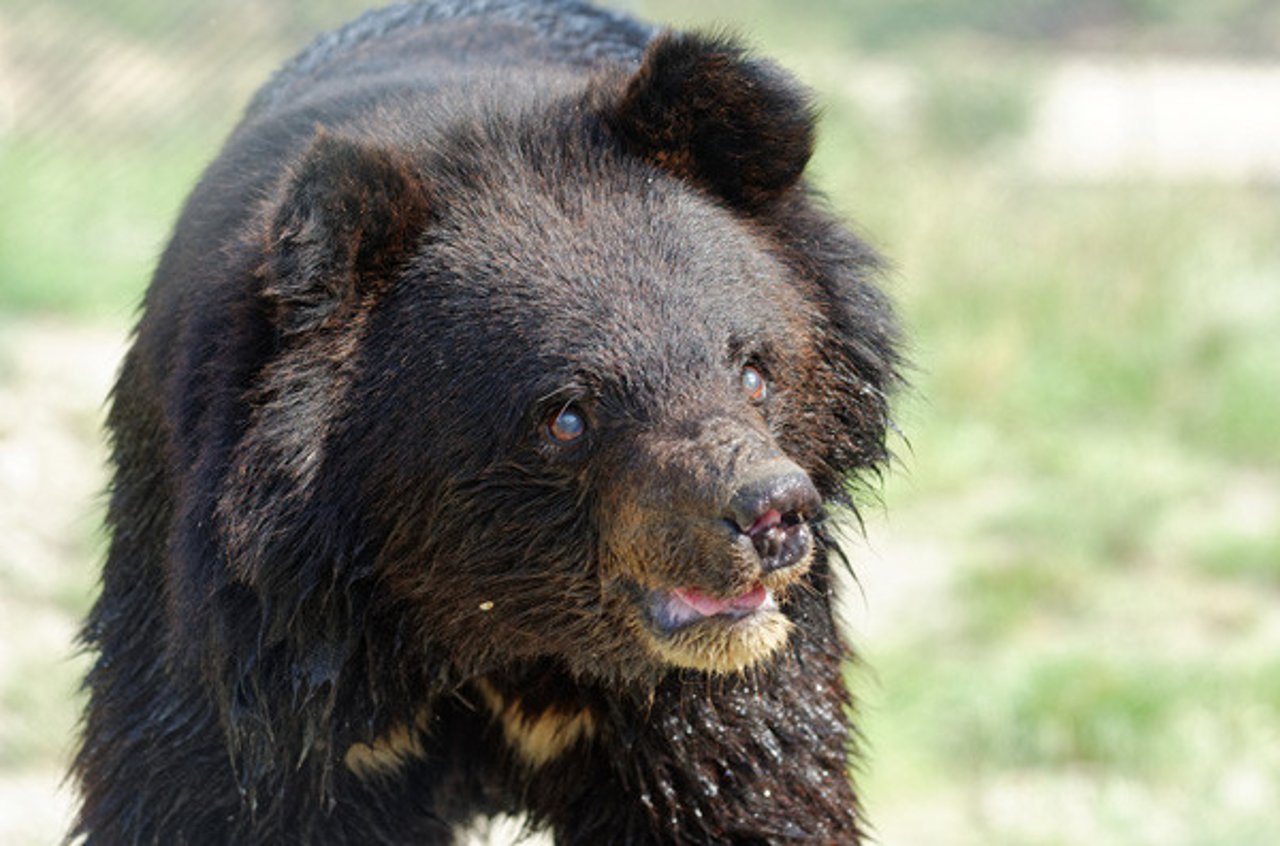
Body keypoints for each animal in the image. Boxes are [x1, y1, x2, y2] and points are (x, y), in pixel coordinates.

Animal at [72, 1, 901, 844]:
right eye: (567, 417)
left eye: (754, 372)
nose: (771, 512)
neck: (492, 622)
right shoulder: (259, 637)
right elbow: (203, 790)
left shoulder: (716, 693)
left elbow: (751, 786)